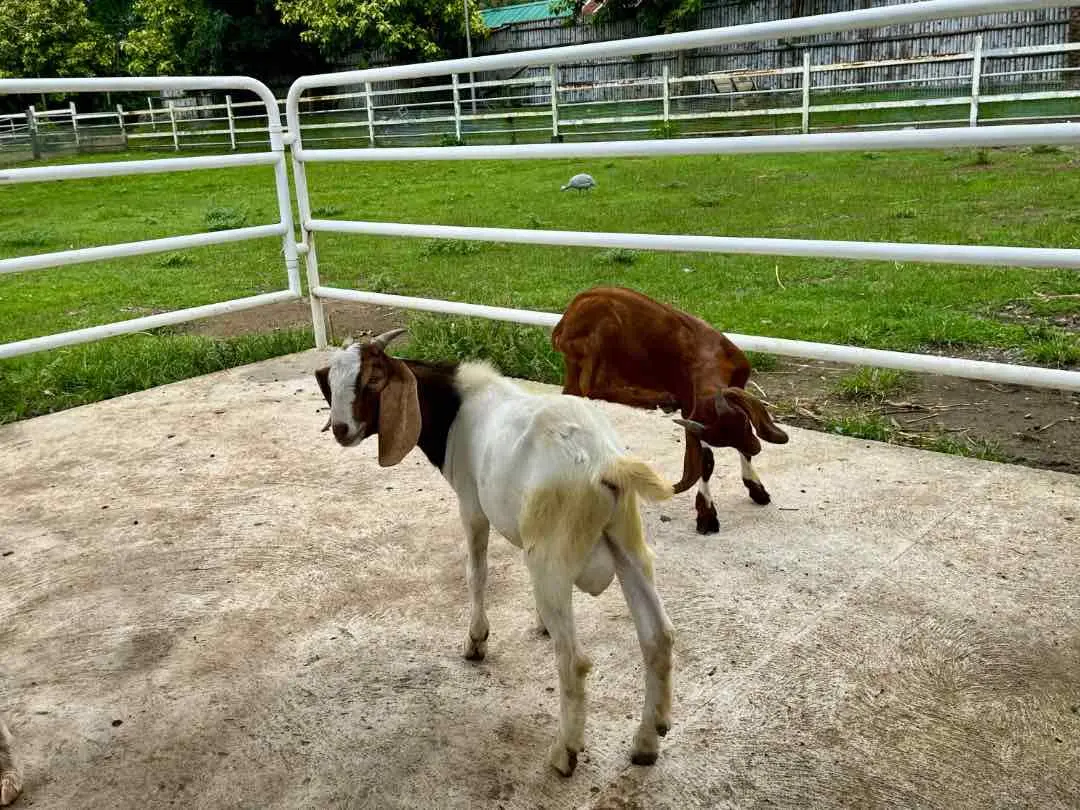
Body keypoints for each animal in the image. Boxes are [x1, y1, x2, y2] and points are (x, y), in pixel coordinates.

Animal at [315, 329, 675, 777]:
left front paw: (476, 642)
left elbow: (477, 574)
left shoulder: (472, 506)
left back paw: (565, 753)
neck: (456, 406)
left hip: (551, 558)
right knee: (658, 637)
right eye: (333, 381)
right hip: (628, 546)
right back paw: (646, 742)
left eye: (374, 380)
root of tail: (603, 463)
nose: (341, 429)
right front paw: (538, 624)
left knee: (574, 661)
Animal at [552, 286, 788, 535]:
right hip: (603, 333)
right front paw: (707, 516)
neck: (706, 355)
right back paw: (660, 398)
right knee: (593, 385)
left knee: (573, 394)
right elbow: (706, 462)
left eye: (743, 422)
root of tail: (562, 326)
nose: (757, 447)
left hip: (576, 363)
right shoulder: (692, 411)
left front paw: (758, 491)